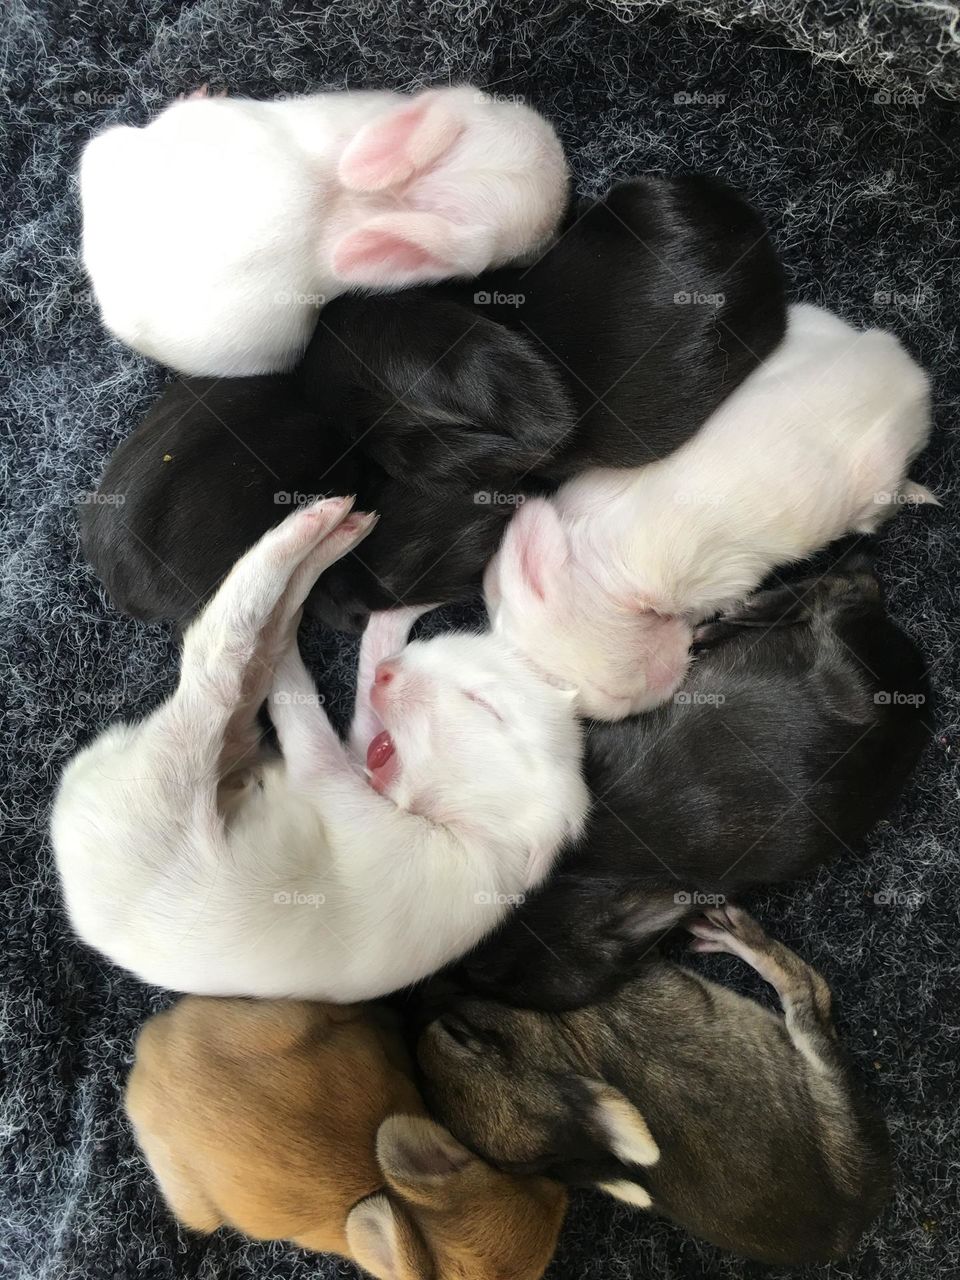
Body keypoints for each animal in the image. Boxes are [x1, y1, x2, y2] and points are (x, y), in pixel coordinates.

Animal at [52, 498, 589, 999]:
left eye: (484, 703)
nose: (391, 673)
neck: (488, 839)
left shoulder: (357, 806)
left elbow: (311, 744)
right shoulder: (364, 752)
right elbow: (364, 698)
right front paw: (397, 617)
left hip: (167, 775)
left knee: (223, 655)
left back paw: (306, 543)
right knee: (245, 683)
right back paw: (313, 573)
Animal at [456, 554, 933, 1010]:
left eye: (495, 980)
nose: (456, 979)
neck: (589, 864)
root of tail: (917, 682)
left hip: (846, 651)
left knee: (852, 585)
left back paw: (747, 611)